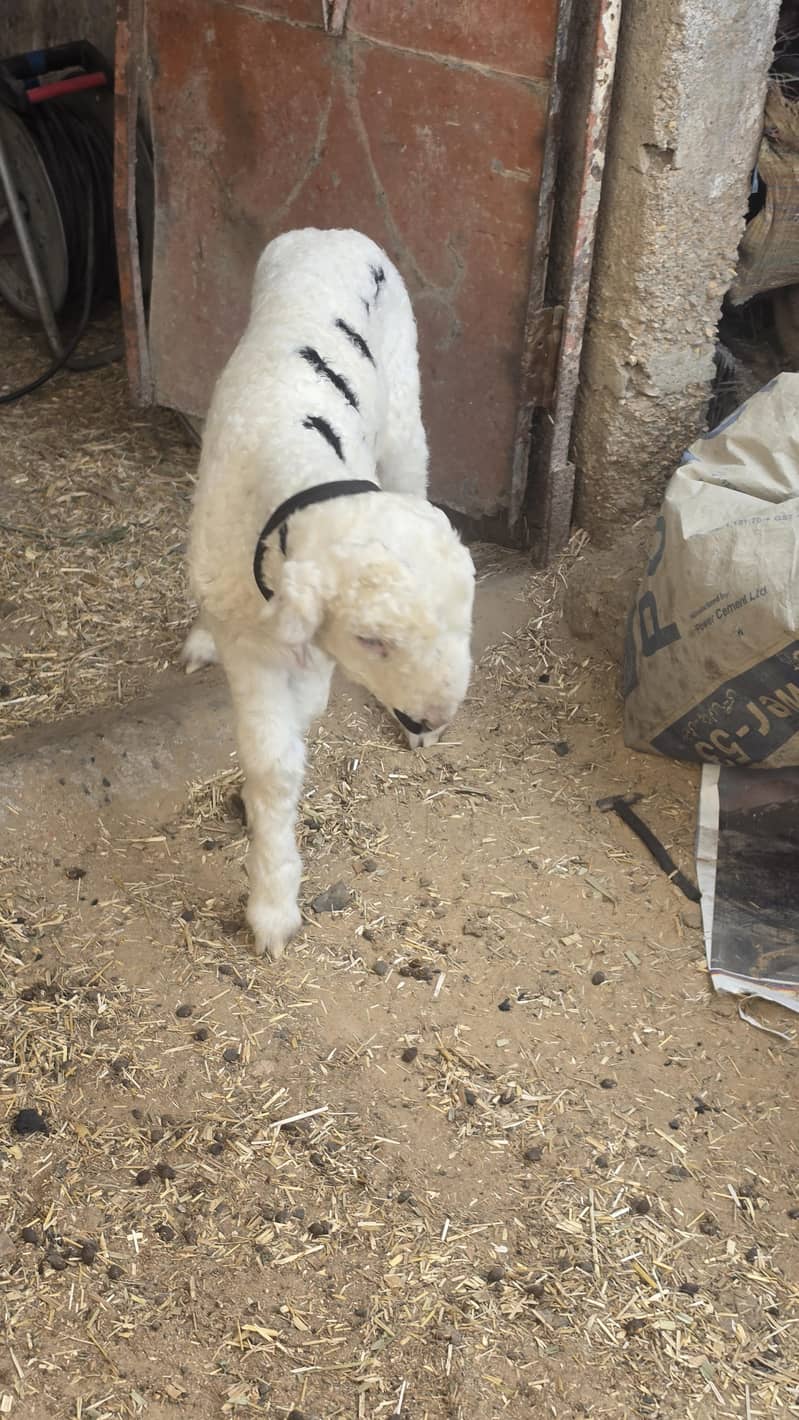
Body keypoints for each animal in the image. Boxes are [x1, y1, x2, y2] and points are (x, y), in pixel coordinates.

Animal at [183, 228, 476, 960]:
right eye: (372, 639)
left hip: (404, 407)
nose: (432, 718)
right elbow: (273, 765)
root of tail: (330, 233)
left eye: (466, 617)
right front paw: (271, 908)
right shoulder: (248, 633)